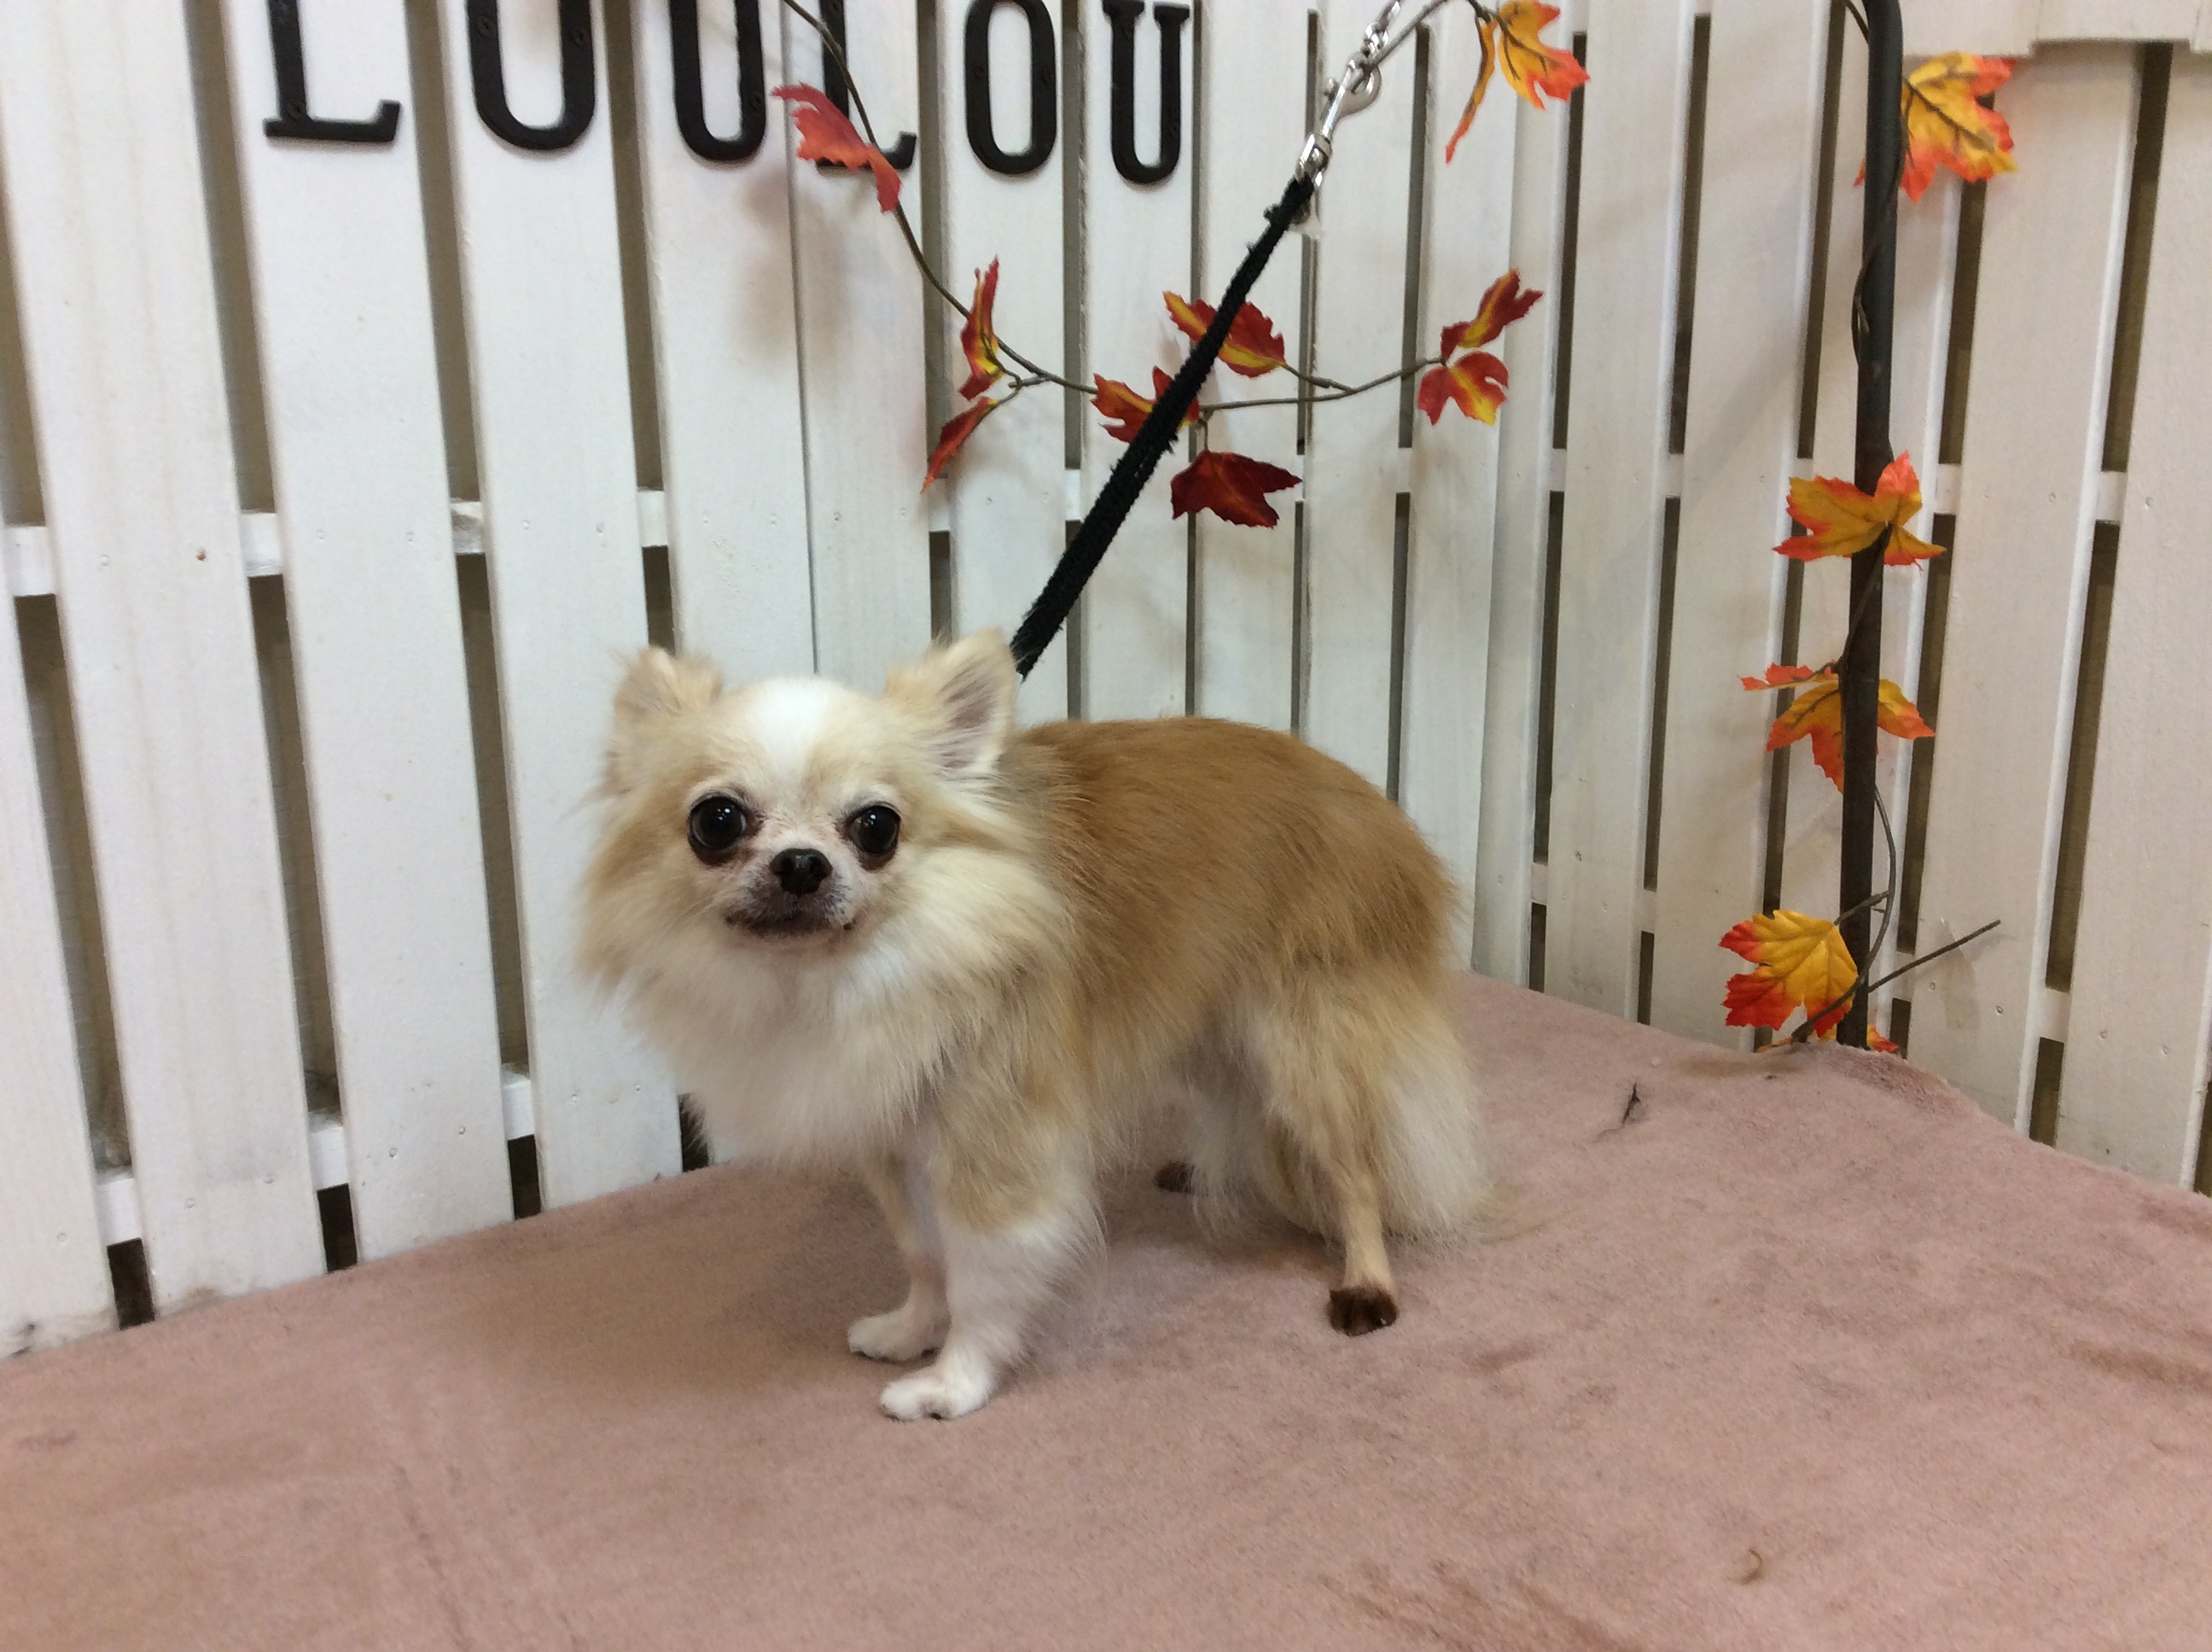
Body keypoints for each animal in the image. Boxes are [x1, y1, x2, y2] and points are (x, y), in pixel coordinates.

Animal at [581, 628, 1487, 1419]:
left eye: (876, 827)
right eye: (716, 822)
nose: (801, 863)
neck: (831, 980)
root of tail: (1376, 808)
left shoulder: (995, 1150)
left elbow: (983, 1278)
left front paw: (953, 1384)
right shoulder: (897, 1141)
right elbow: (924, 1255)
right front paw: (912, 1329)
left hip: (1303, 1044)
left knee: (1354, 1170)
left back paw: (1367, 1283)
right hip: (1208, 1022)